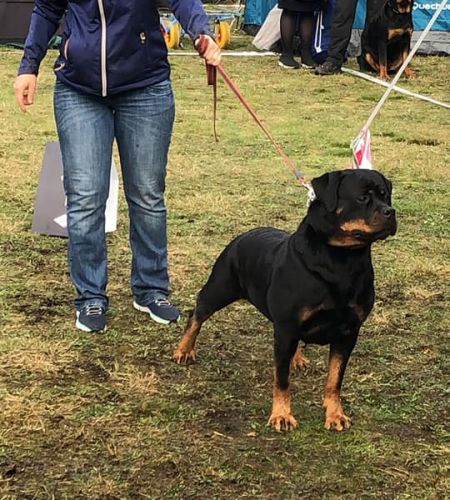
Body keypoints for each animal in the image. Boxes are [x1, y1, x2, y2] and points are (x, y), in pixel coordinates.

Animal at [173, 169, 397, 432]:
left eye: (386, 196)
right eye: (362, 197)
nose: (391, 212)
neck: (342, 259)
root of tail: (242, 236)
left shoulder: (348, 332)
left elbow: (334, 379)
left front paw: (335, 415)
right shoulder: (286, 327)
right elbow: (281, 380)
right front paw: (281, 415)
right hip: (220, 288)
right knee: (197, 313)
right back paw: (184, 350)